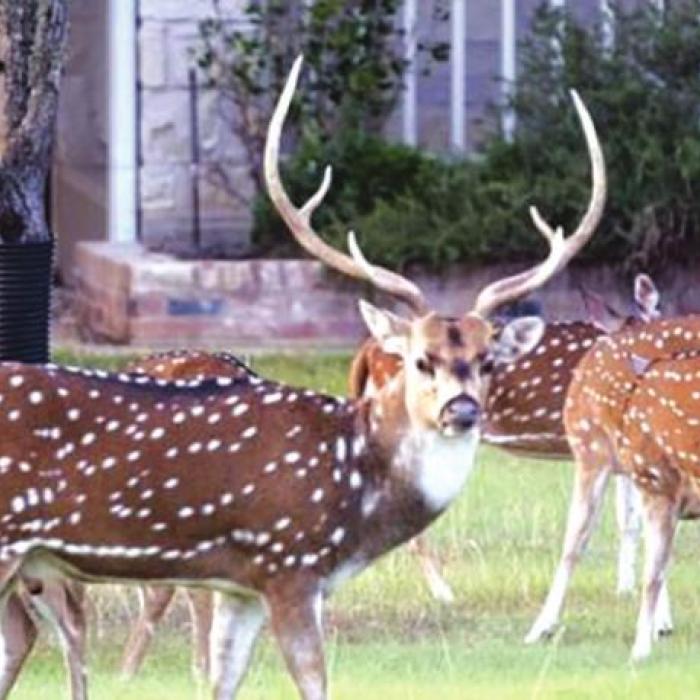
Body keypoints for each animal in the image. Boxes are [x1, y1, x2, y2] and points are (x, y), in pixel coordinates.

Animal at [0, 56, 603, 700]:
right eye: (421, 359)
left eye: (490, 360)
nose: (461, 411)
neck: (355, 486)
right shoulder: (288, 560)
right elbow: (314, 682)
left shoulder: (240, 585)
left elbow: (223, 682)